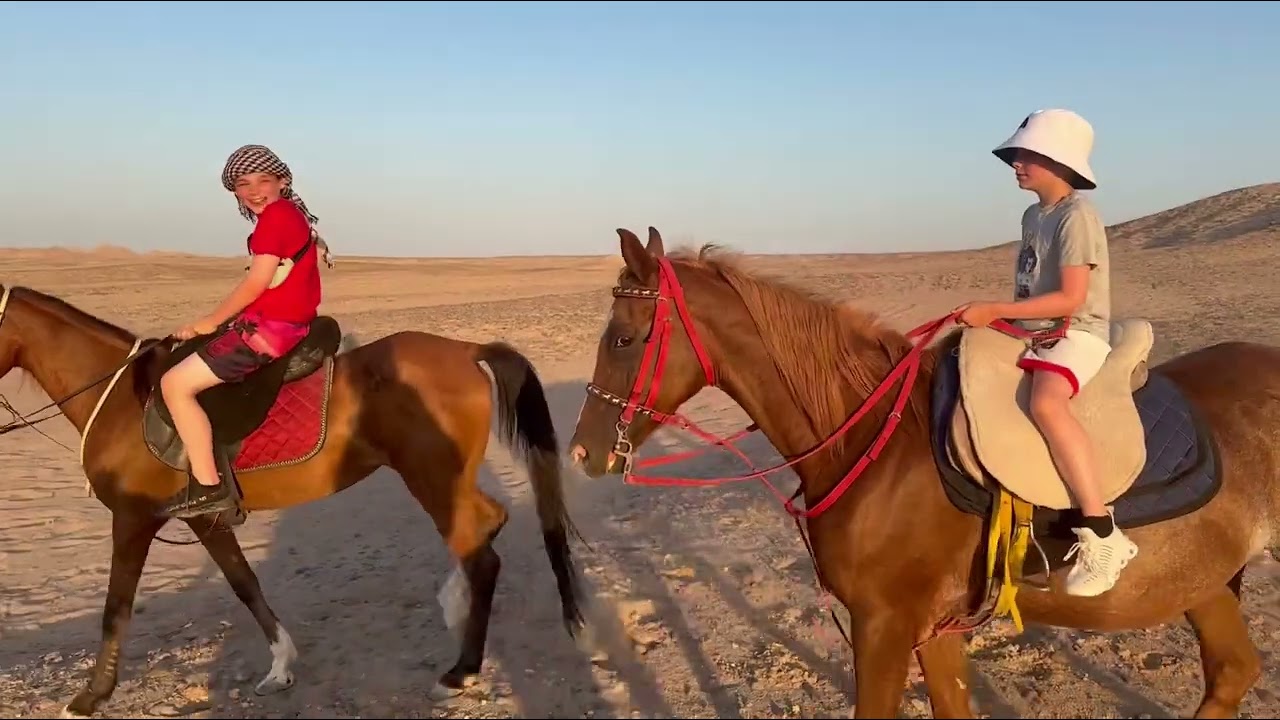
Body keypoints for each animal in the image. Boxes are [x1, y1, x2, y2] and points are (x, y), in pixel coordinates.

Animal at [0, 283, 588, 718]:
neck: (122, 400)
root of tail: (468, 350)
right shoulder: (205, 520)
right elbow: (244, 582)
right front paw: (281, 665)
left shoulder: (132, 518)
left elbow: (116, 608)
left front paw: (89, 697)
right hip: (447, 479)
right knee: (488, 525)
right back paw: (454, 604)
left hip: (431, 477)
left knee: (480, 551)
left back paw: (460, 669)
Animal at [568, 226, 1280, 718]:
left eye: (623, 339)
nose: (582, 453)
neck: (871, 443)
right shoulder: (934, 631)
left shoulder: (883, 625)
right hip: (1202, 579)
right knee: (1232, 672)